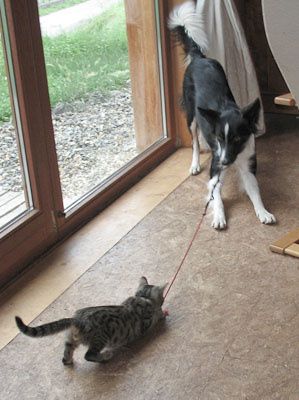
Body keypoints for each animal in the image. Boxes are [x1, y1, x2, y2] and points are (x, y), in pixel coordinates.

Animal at [15, 276, 168, 364]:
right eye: (163, 298)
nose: (163, 301)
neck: (142, 298)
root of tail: (76, 319)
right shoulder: (145, 323)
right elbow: (154, 317)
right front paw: (161, 313)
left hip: (70, 339)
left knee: (66, 355)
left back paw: (68, 361)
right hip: (101, 337)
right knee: (88, 355)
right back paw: (105, 356)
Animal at [169, 1, 276, 230]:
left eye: (236, 138)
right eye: (219, 137)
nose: (226, 162)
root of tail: (199, 58)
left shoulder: (247, 165)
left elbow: (255, 192)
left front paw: (263, 212)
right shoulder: (216, 169)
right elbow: (216, 194)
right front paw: (218, 216)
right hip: (191, 117)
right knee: (194, 141)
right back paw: (194, 164)